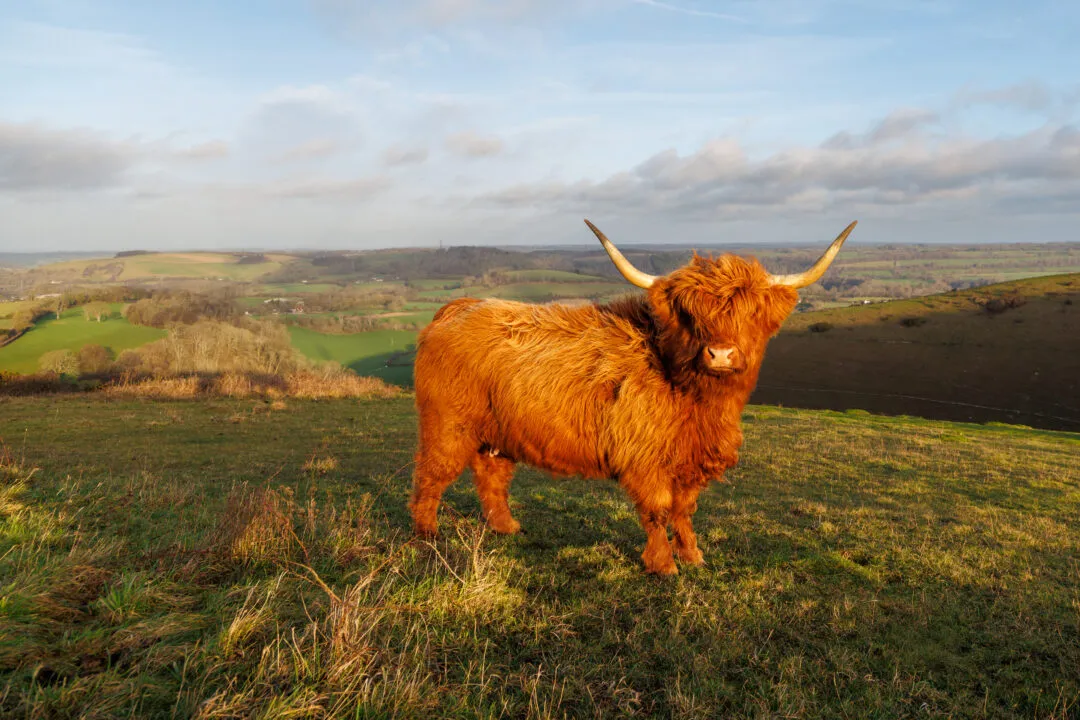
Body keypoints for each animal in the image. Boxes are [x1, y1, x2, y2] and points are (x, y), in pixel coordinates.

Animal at [409, 219, 857, 574]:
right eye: (692, 314)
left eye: (750, 314)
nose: (720, 354)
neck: (695, 397)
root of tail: (458, 307)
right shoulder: (645, 457)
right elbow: (658, 510)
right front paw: (663, 566)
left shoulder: (689, 458)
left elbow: (684, 509)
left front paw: (693, 556)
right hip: (448, 425)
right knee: (431, 474)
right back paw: (427, 534)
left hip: (497, 432)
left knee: (492, 475)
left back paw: (507, 528)